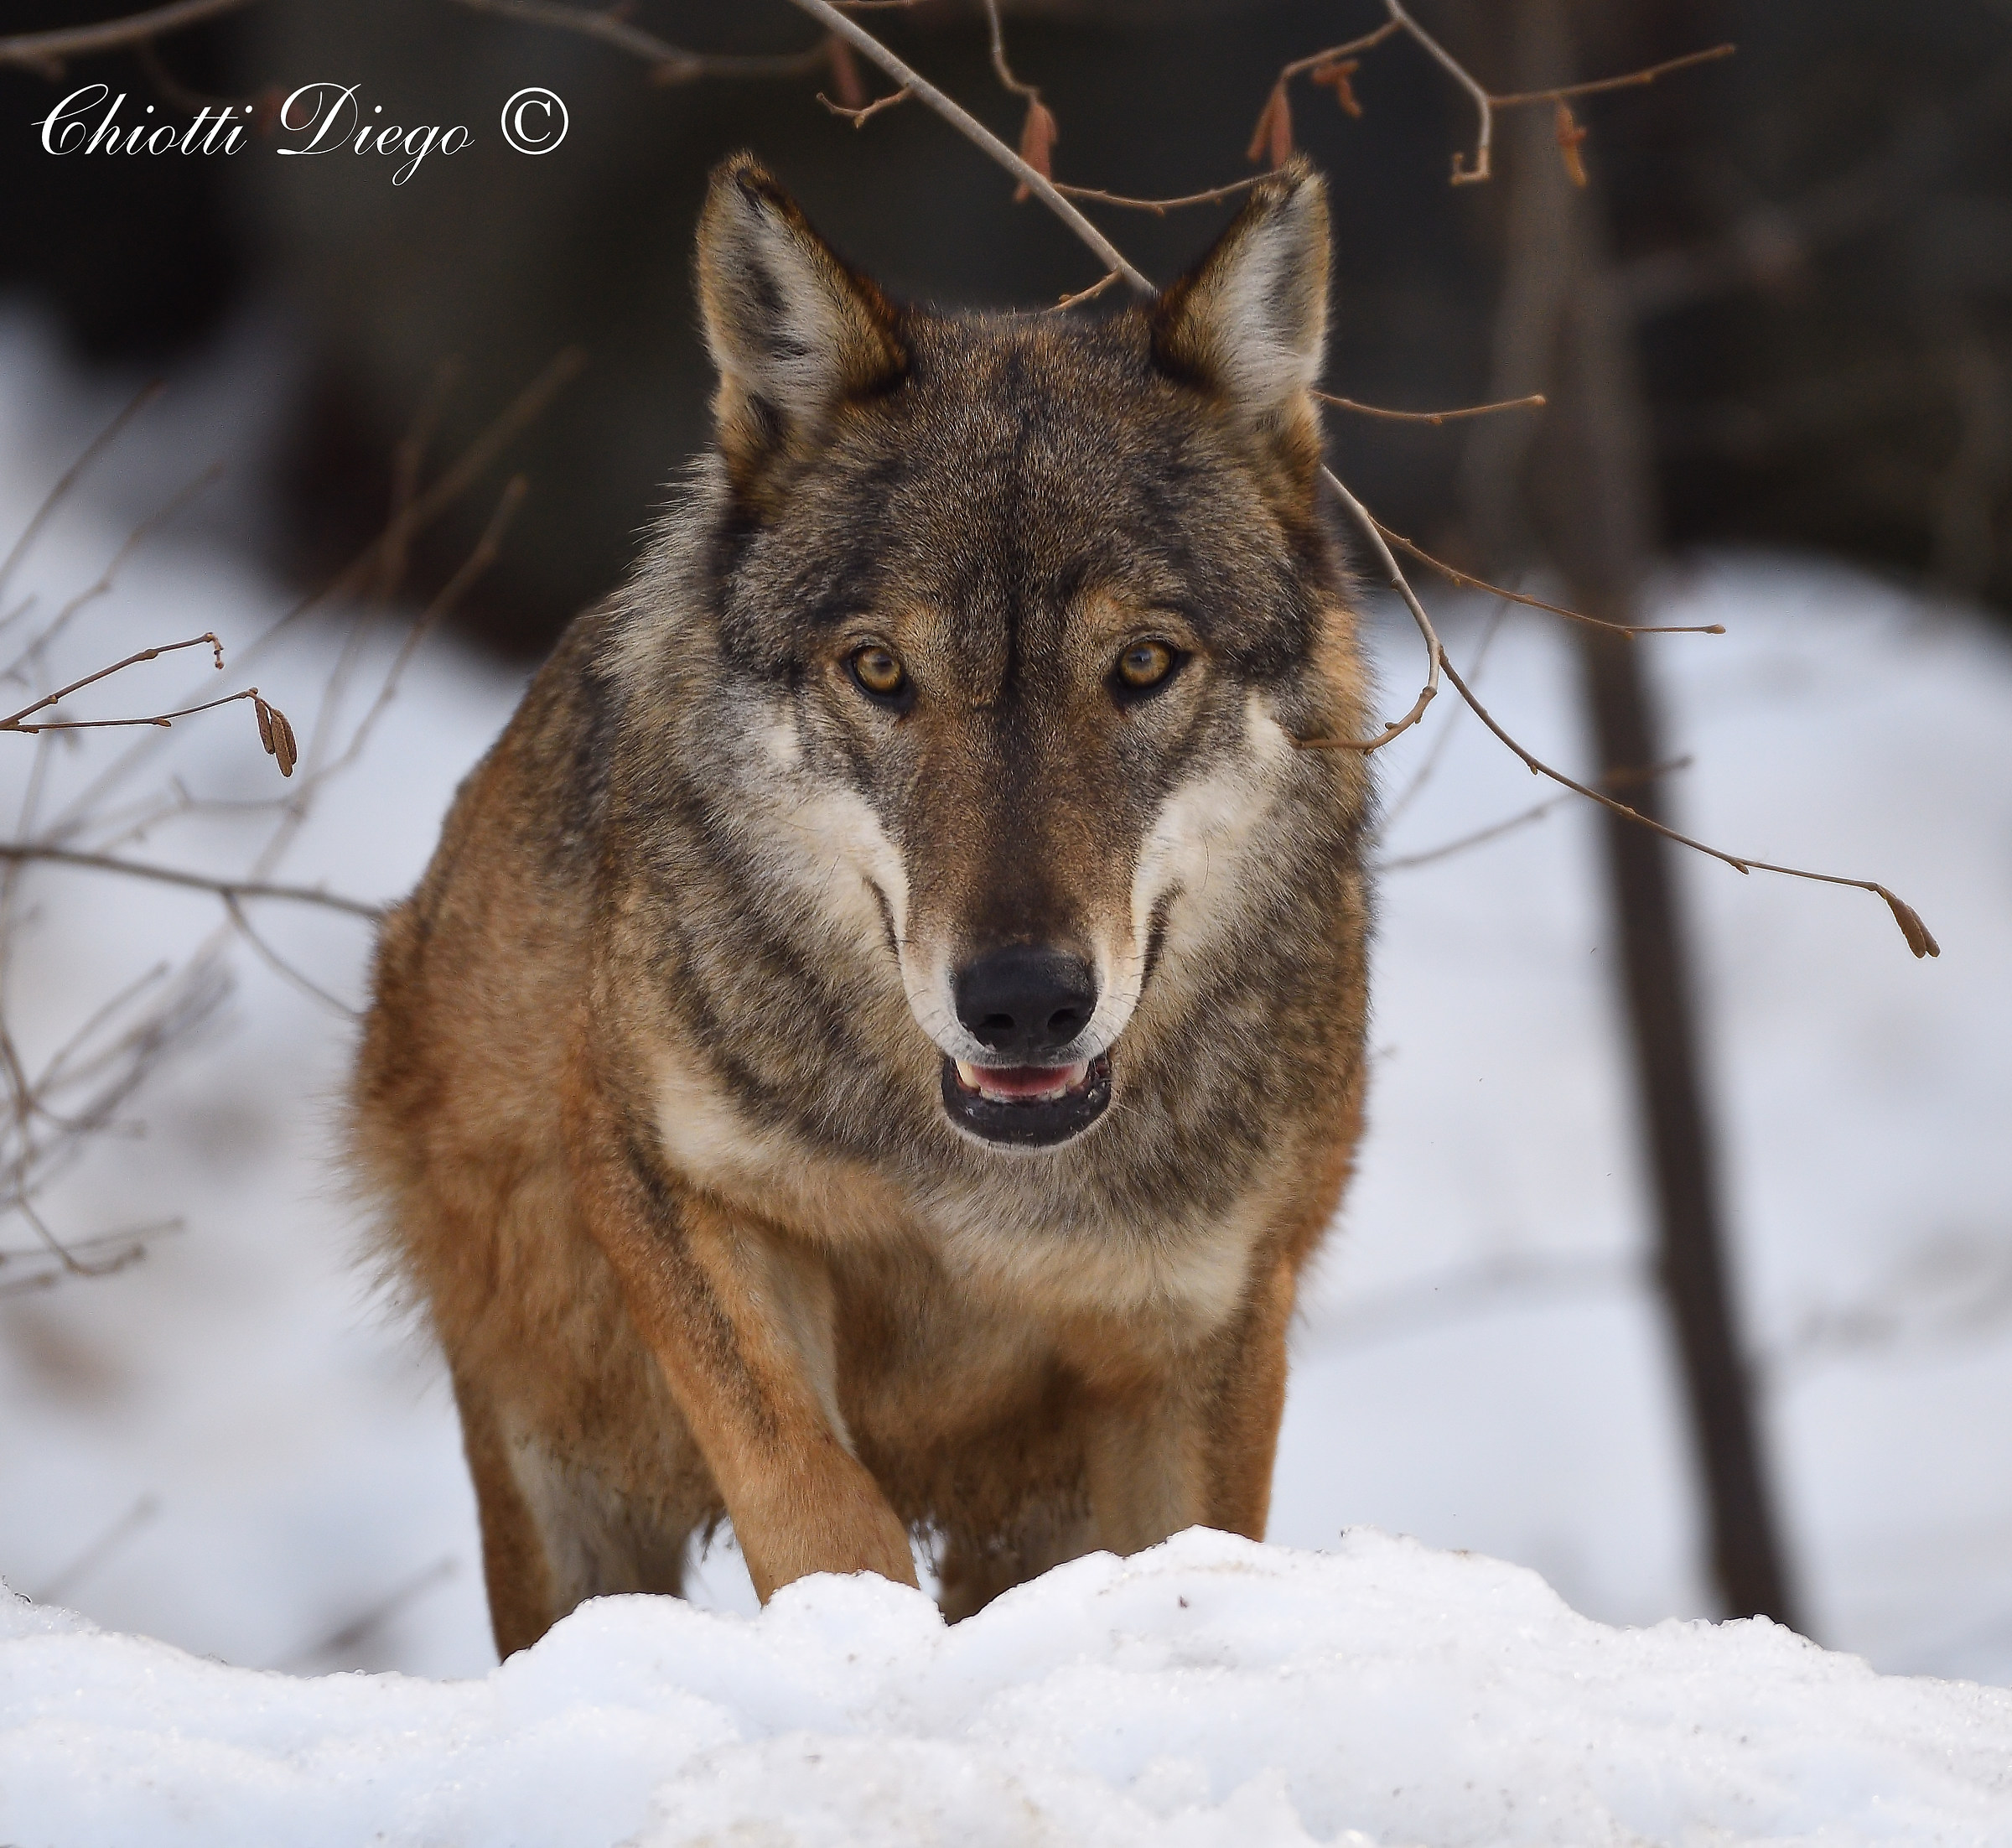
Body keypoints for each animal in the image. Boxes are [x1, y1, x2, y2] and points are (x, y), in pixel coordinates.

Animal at [351, 152, 1373, 1657]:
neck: (981, 1190)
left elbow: (1196, 1556)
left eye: (1143, 665)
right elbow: (815, 1494)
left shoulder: (1211, 1326)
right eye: (882, 671)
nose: (1023, 1001)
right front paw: (853, 1653)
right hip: (556, 1446)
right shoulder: (670, 1177)